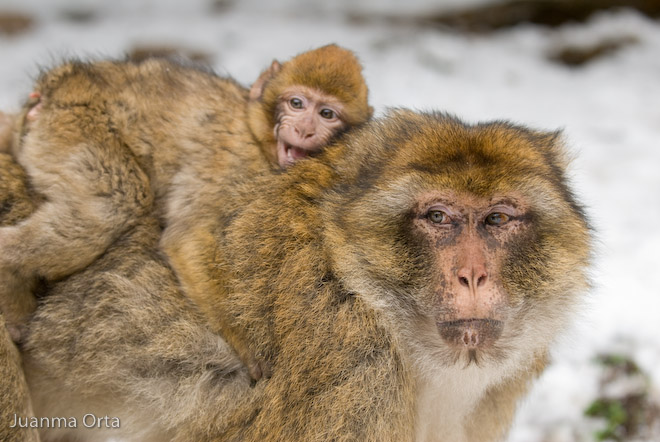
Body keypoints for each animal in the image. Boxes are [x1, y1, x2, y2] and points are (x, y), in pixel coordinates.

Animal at [0, 44, 372, 376]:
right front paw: (245, 339)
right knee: (115, 205)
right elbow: (185, 236)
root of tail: (61, 81)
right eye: (297, 103)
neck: (257, 135)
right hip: (74, 122)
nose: (305, 130)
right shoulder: (233, 165)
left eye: (327, 114)